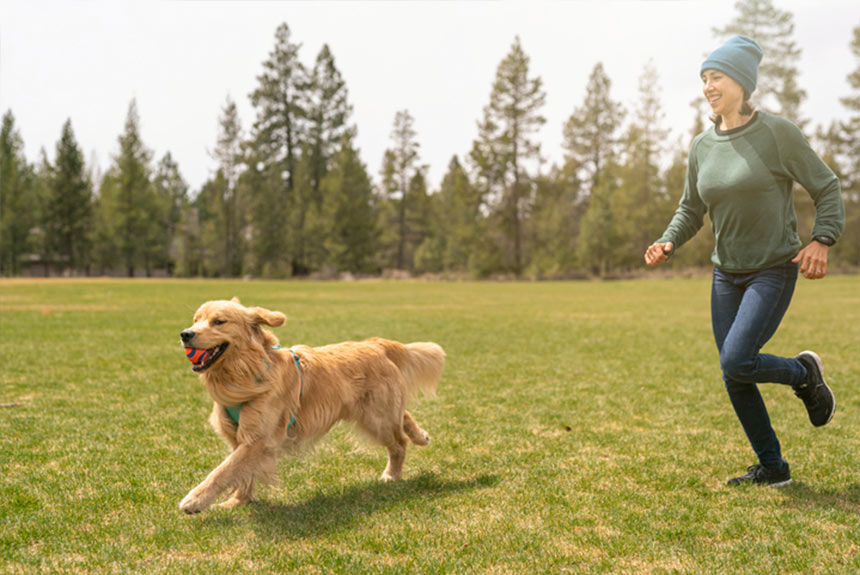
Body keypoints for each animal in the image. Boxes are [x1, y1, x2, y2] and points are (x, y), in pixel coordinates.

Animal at [175, 300, 444, 516]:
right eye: (195, 320)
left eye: (218, 321)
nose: (185, 334)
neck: (247, 373)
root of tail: (376, 344)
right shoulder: (240, 438)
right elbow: (240, 472)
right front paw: (238, 501)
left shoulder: (260, 439)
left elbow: (223, 471)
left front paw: (195, 499)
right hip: (380, 412)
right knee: (403, 416)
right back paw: (421, 436)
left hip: (376, 418)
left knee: (399, 443)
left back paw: (392, 474)